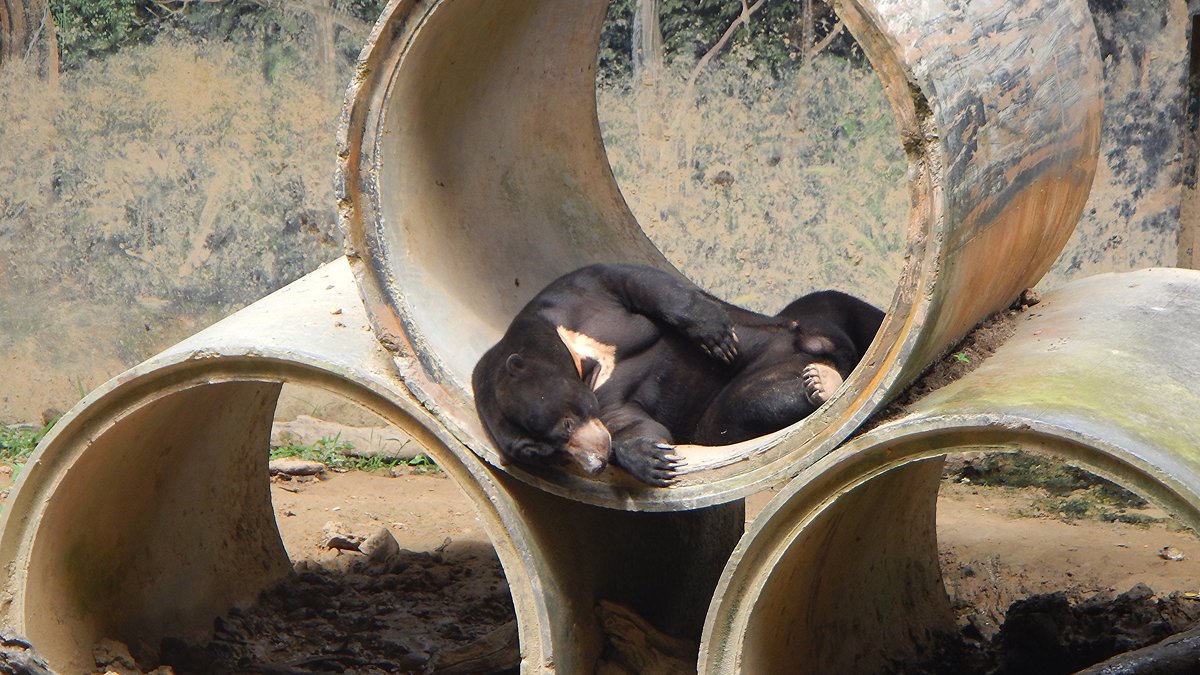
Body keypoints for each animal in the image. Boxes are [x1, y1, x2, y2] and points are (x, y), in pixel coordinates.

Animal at [472, 261, 888, 482]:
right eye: (542, 453)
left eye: (565, 425)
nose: (595, 463)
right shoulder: (606, 403)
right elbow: (629, 420)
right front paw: (652, 459)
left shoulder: (574, 293)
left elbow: (639, 283)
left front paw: (715, 334)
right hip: (734, 401)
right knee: (748, 405)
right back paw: (820, 383)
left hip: (818, 314)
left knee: (849, 310)